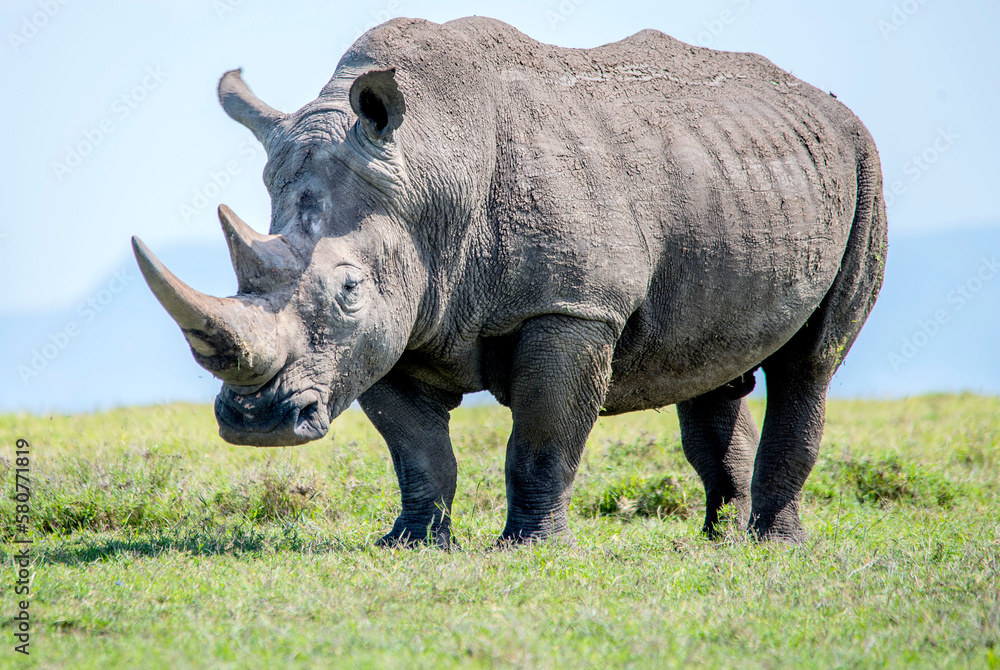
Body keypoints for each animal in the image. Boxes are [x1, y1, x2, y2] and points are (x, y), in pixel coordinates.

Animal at [132, 17, 887, 546]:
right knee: (709, 366)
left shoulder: (574, 307)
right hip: (735, 177)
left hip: (861, 161)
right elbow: (417, 450)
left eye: (349, 292)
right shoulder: (396, 323)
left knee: (811, 361)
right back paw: (718, 540)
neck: (429, 171)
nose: (257, 424)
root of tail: (823, 104)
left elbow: (543, 436)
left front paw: (529, 548)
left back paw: (774, 545)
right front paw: (412, 543)